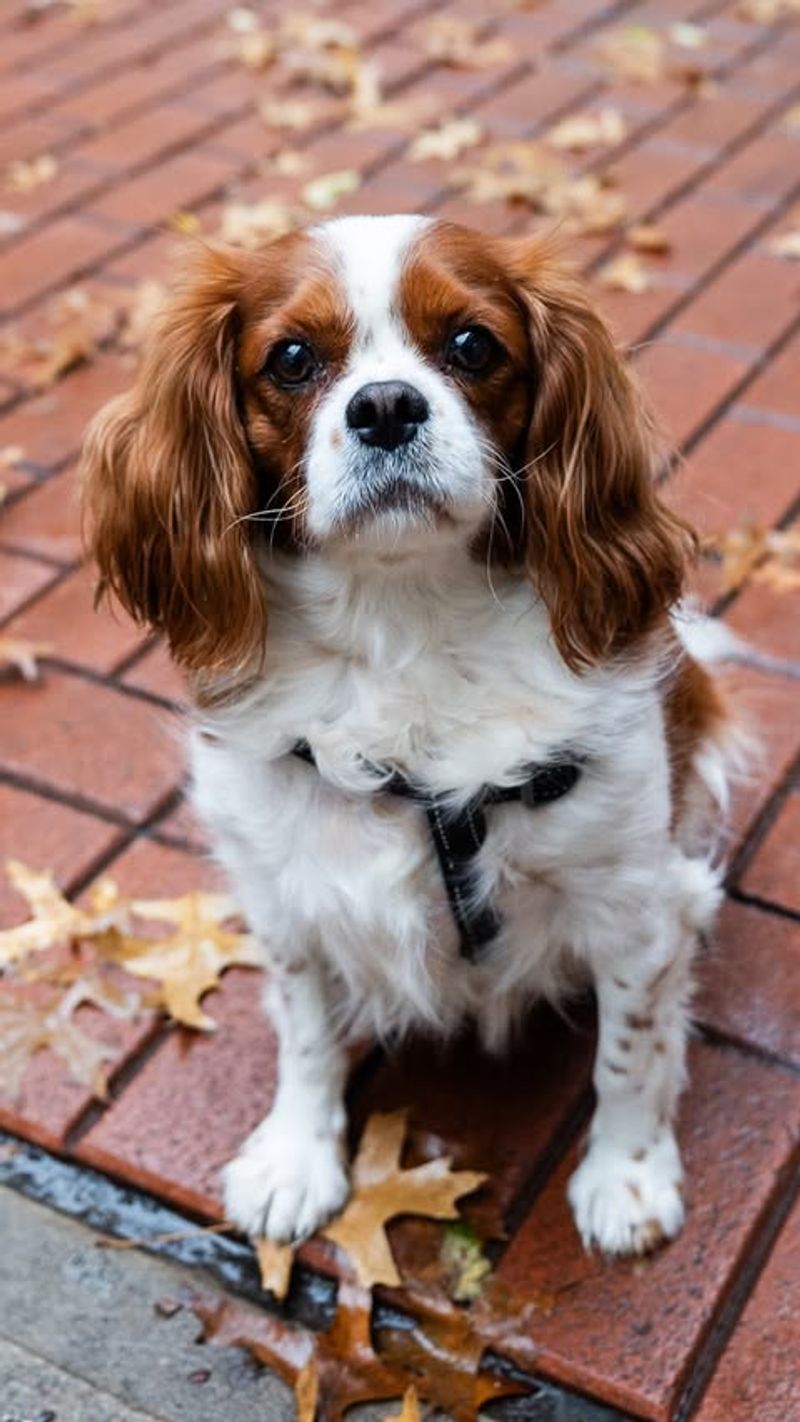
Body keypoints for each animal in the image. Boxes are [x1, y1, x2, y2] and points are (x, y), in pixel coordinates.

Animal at [83, 213, 738, 1257]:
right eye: (293, 358)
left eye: (472, 345)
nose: (386, 406)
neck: (404, 624)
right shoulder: (284, 893)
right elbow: (304, 1028)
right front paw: (296, 1156)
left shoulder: (635, 903)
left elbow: (630, 1052)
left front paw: (627, 1177)